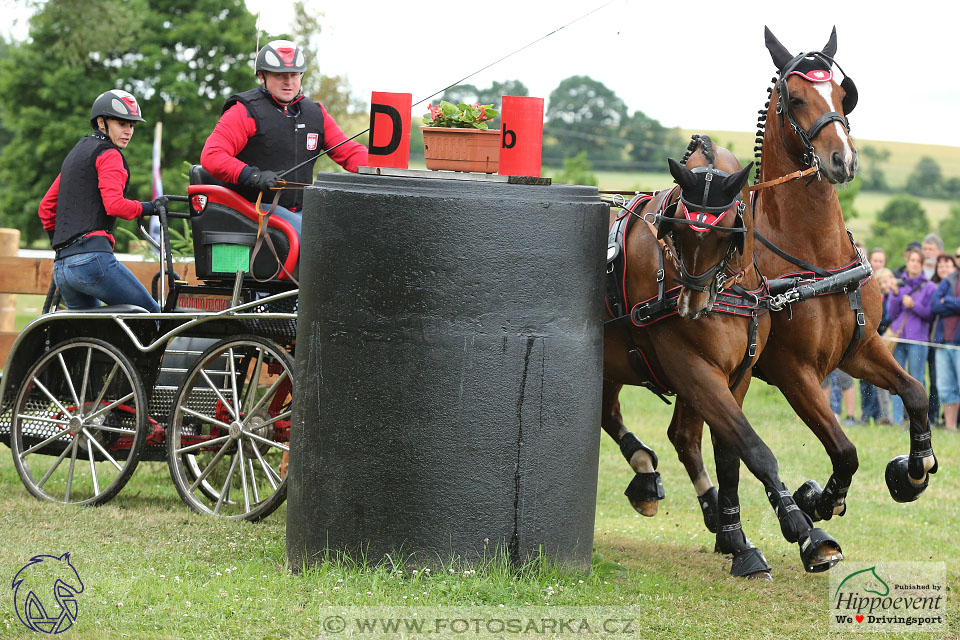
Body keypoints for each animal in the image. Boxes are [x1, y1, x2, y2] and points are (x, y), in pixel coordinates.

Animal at [608, 135, 840, 576]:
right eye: (678, 233)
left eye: (726, 233)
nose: (691, 306)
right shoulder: (693, 369)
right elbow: (753, 448)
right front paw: (803, 530)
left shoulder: (738, 374)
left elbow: (730, 453)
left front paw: (738, 538)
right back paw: (645, 472)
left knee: (648, 425)